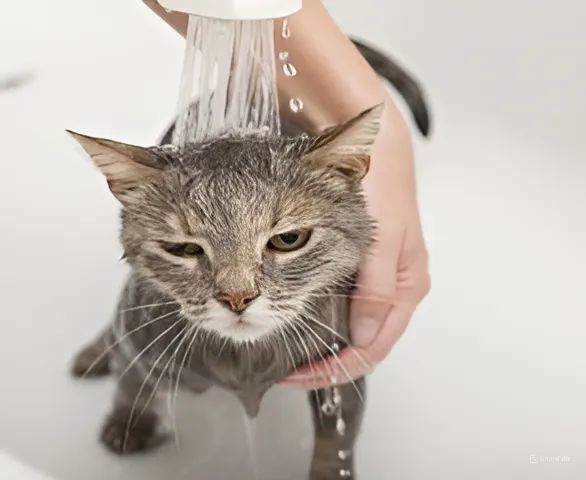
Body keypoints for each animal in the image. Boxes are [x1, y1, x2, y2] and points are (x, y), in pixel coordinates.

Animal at [69, 106, 378, 480]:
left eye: (288, 239)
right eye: (184, 249)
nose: (237, 298)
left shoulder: (339, 369)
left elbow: (336, 440)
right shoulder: (140, 340)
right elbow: (130, 382)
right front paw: (129, 423)